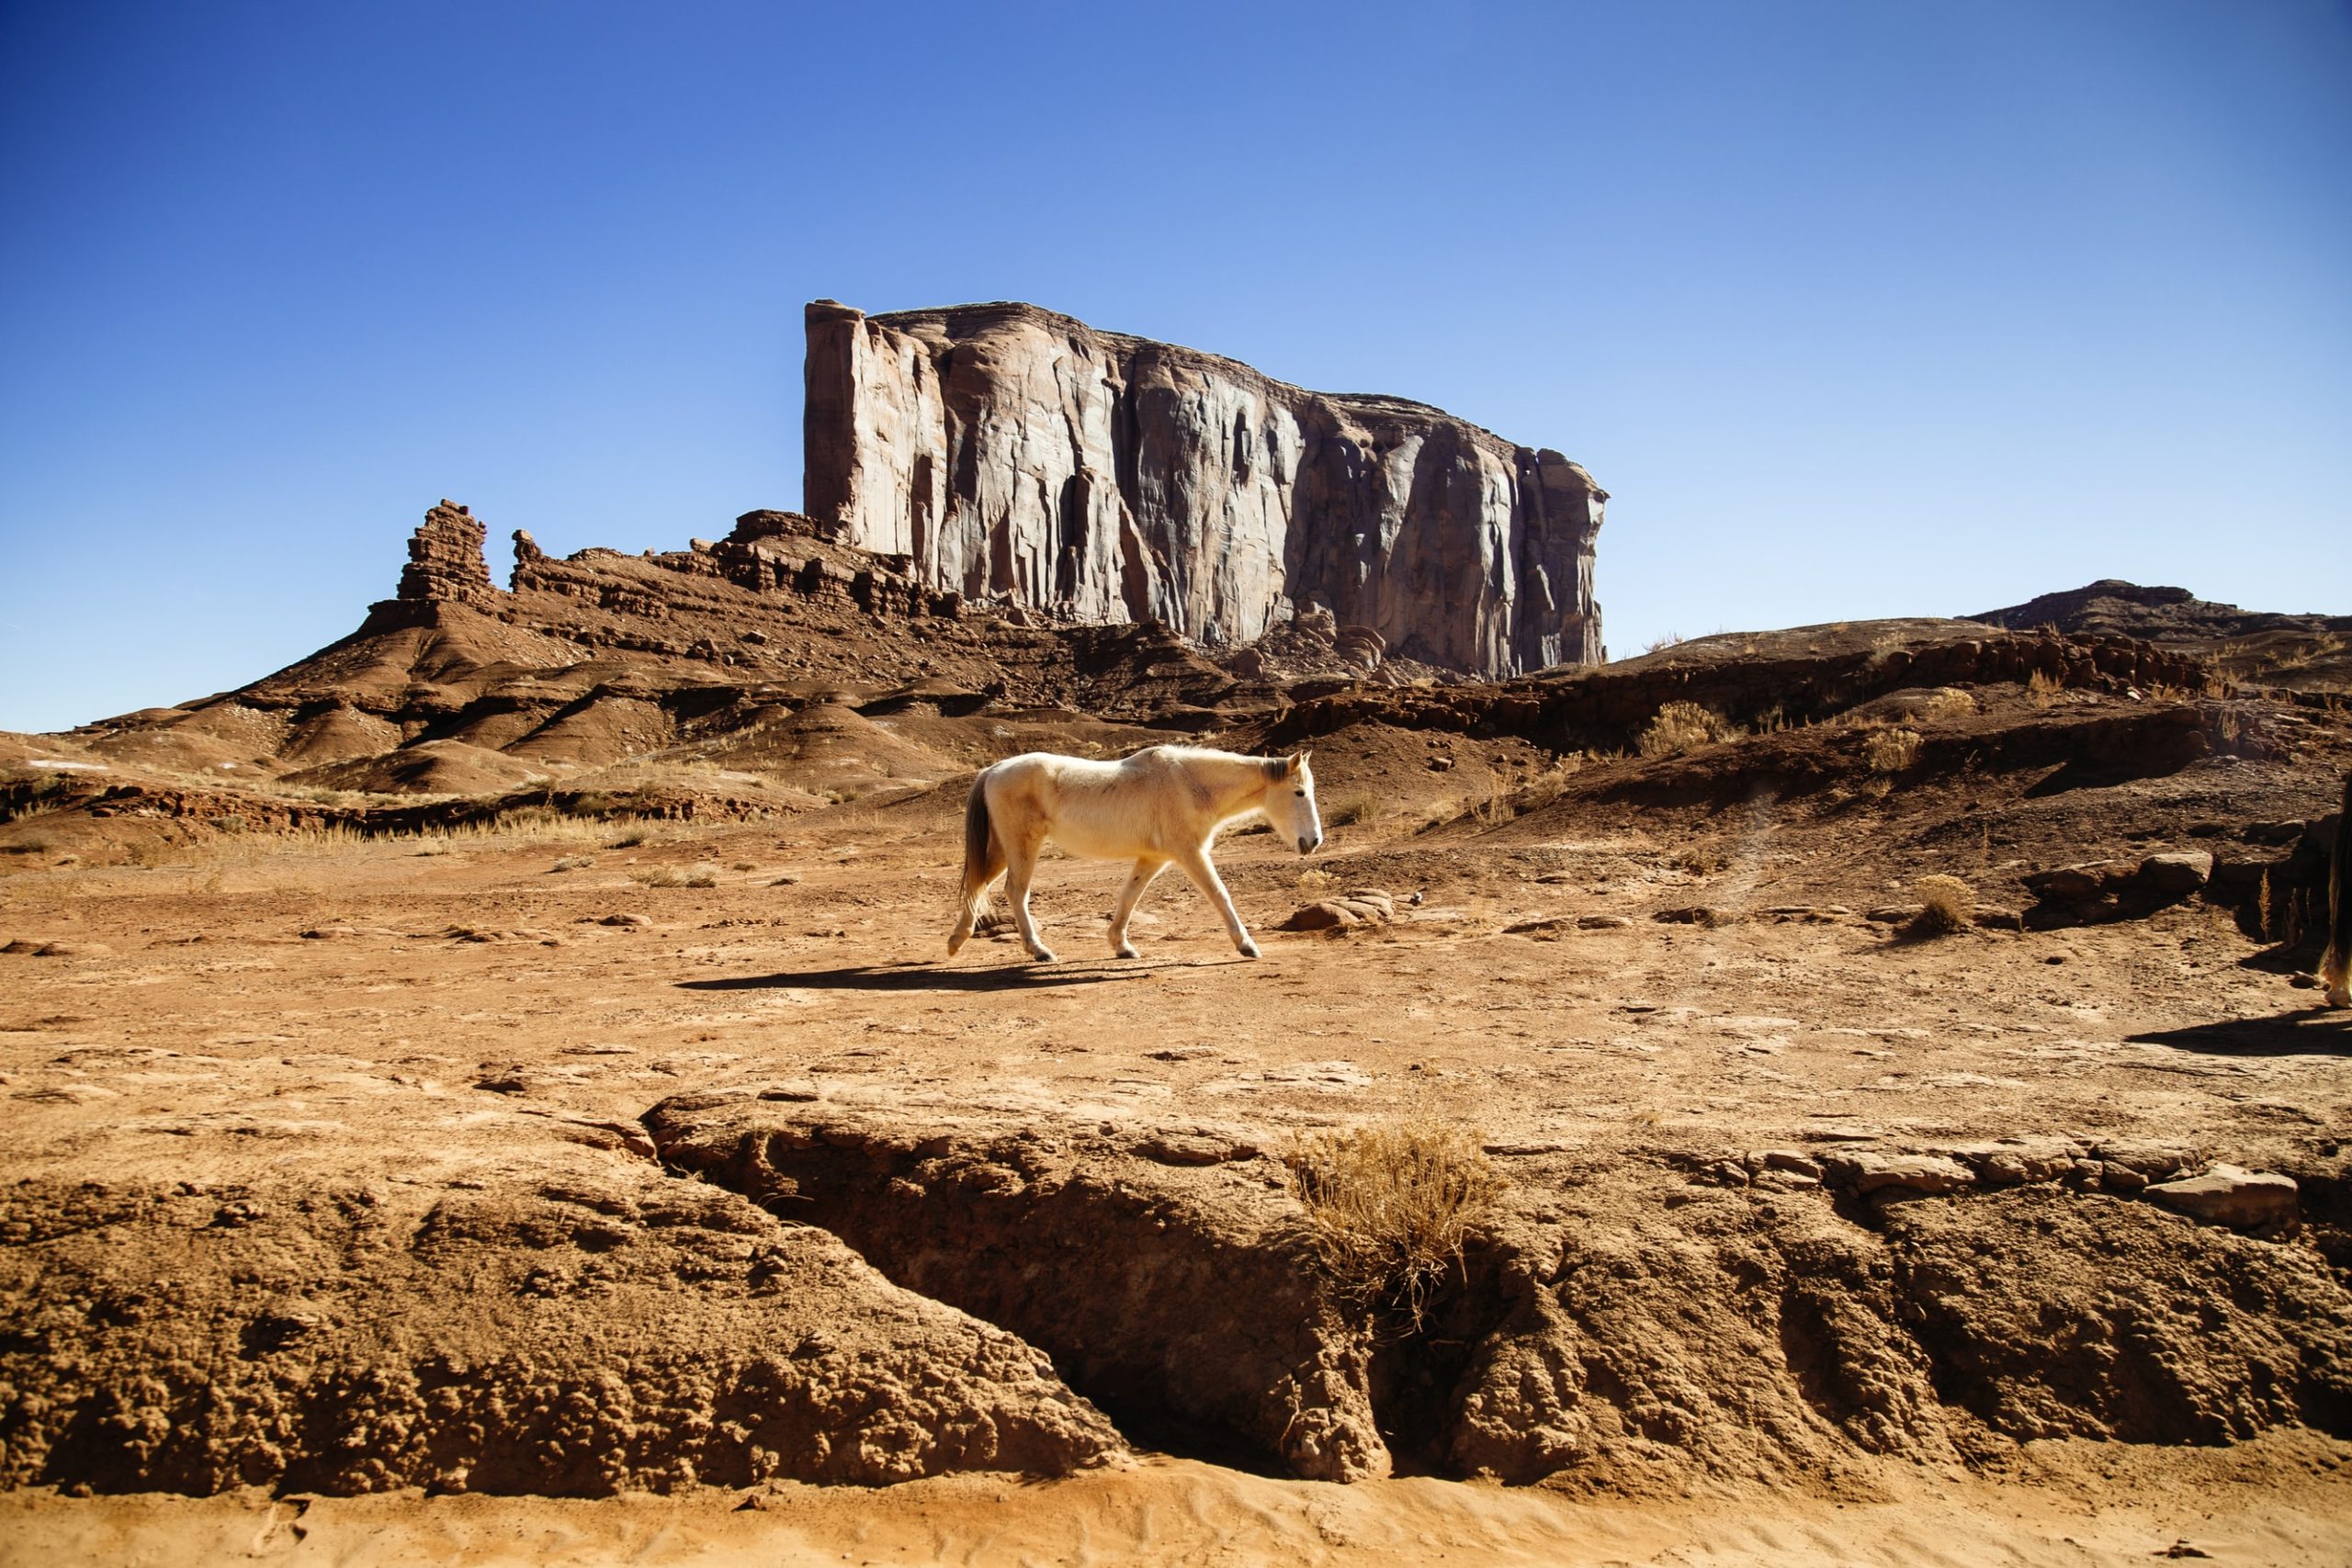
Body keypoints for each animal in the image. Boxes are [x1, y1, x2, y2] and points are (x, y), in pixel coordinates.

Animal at [950, 742, 1326, 964]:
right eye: (1299, 792)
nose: (1314, 841)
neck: (1189, 784)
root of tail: (993, 769)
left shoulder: (1153, 858)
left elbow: (1129, 897)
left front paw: (1121, 945)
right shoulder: (1190, 853)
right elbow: (1220, 894)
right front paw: (1246, 945)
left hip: (1004, 849)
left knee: (979, 884)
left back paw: (957, 941)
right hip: (1022, 846)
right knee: (1015, 891)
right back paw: (1039, 950)